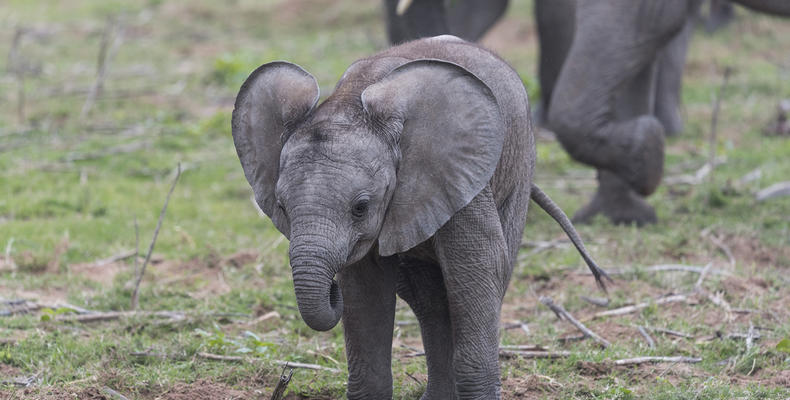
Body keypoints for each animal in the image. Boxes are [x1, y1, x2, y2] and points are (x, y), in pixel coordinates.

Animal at [232, 36, 608, 398]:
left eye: (361, 207)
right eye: (282, 207)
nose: (331, 289)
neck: (351, 100)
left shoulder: (460, 176)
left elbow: (480, 268)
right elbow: (365, 288)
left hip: (519, 165)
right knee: (430, 301)